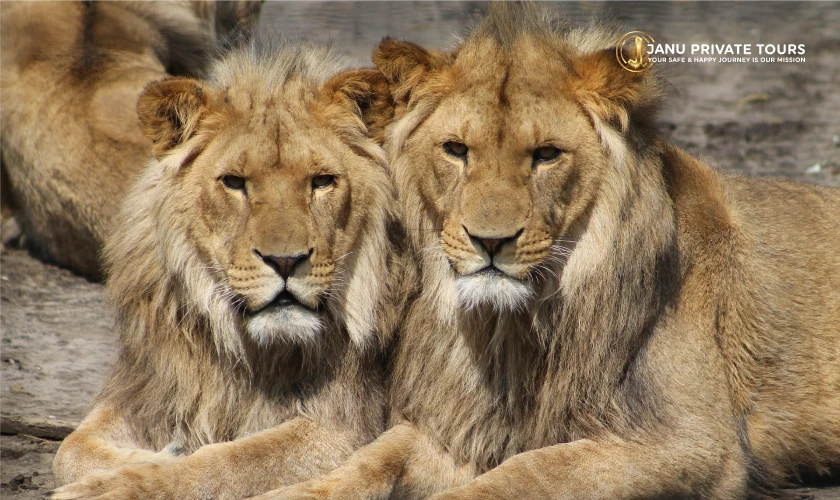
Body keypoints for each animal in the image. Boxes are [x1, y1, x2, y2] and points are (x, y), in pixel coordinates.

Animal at [51, 40, 413, 500]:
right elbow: (70, 449)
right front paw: (149, 457)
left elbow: (227, 460)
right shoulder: (150, 389)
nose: (286, 260)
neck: (244, 350)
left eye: (322, 181)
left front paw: (123, 483)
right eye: (234, 182)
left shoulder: (342, 428)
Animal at [253, 4, 840, 499]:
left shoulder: (694, 442)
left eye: (547, 155)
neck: (512, 329)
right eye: (456, 150)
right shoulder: (467, 426)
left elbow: (531, 470)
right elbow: (379, 453)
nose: (490, 242)